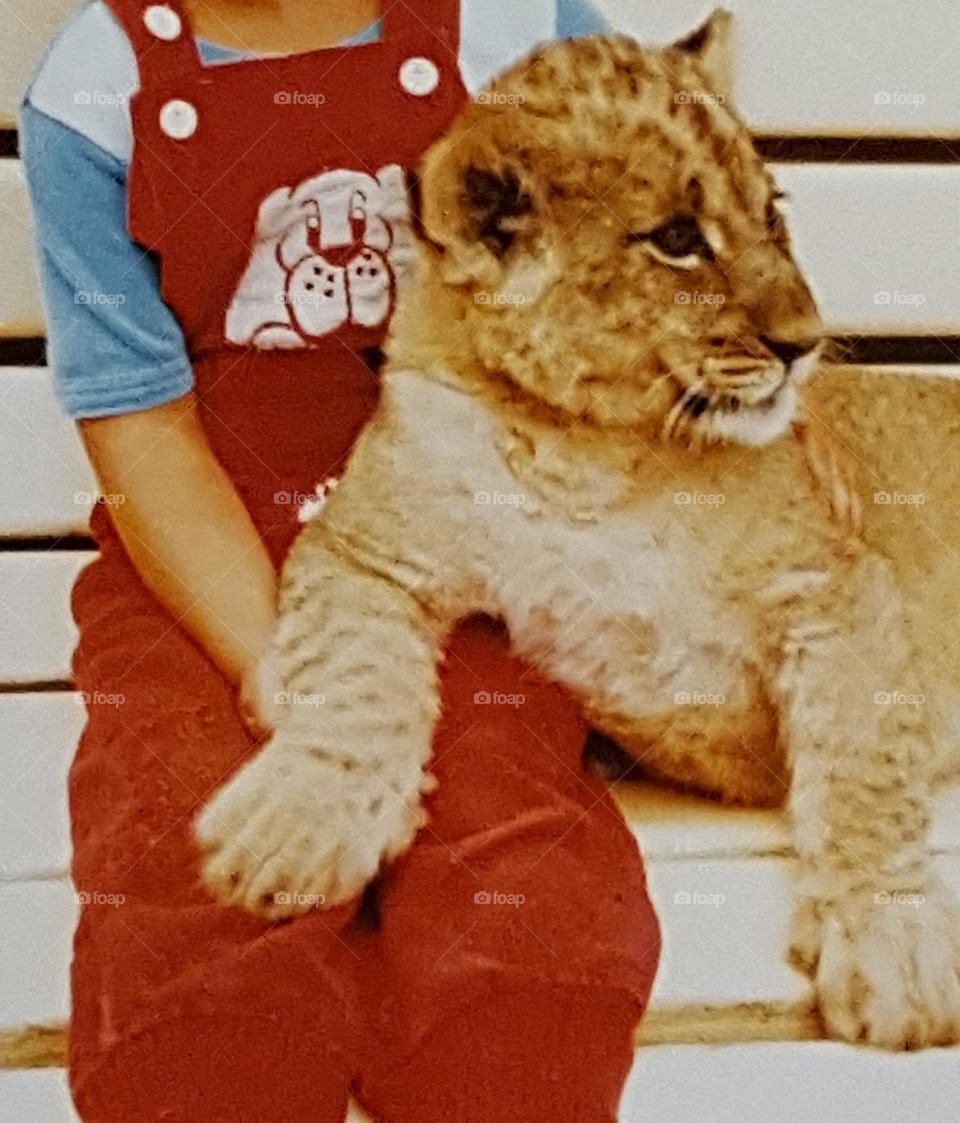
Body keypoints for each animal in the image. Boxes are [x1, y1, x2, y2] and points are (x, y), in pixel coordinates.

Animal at [197, 13, 960, 1050]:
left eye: (773, 217)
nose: (805, 342)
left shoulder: (835, 583)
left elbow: (864, 761)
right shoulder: (367, 548)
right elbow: (353, 675)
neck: (587, 453)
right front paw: (300, 822)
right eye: (678, 240)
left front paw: (893, 942)